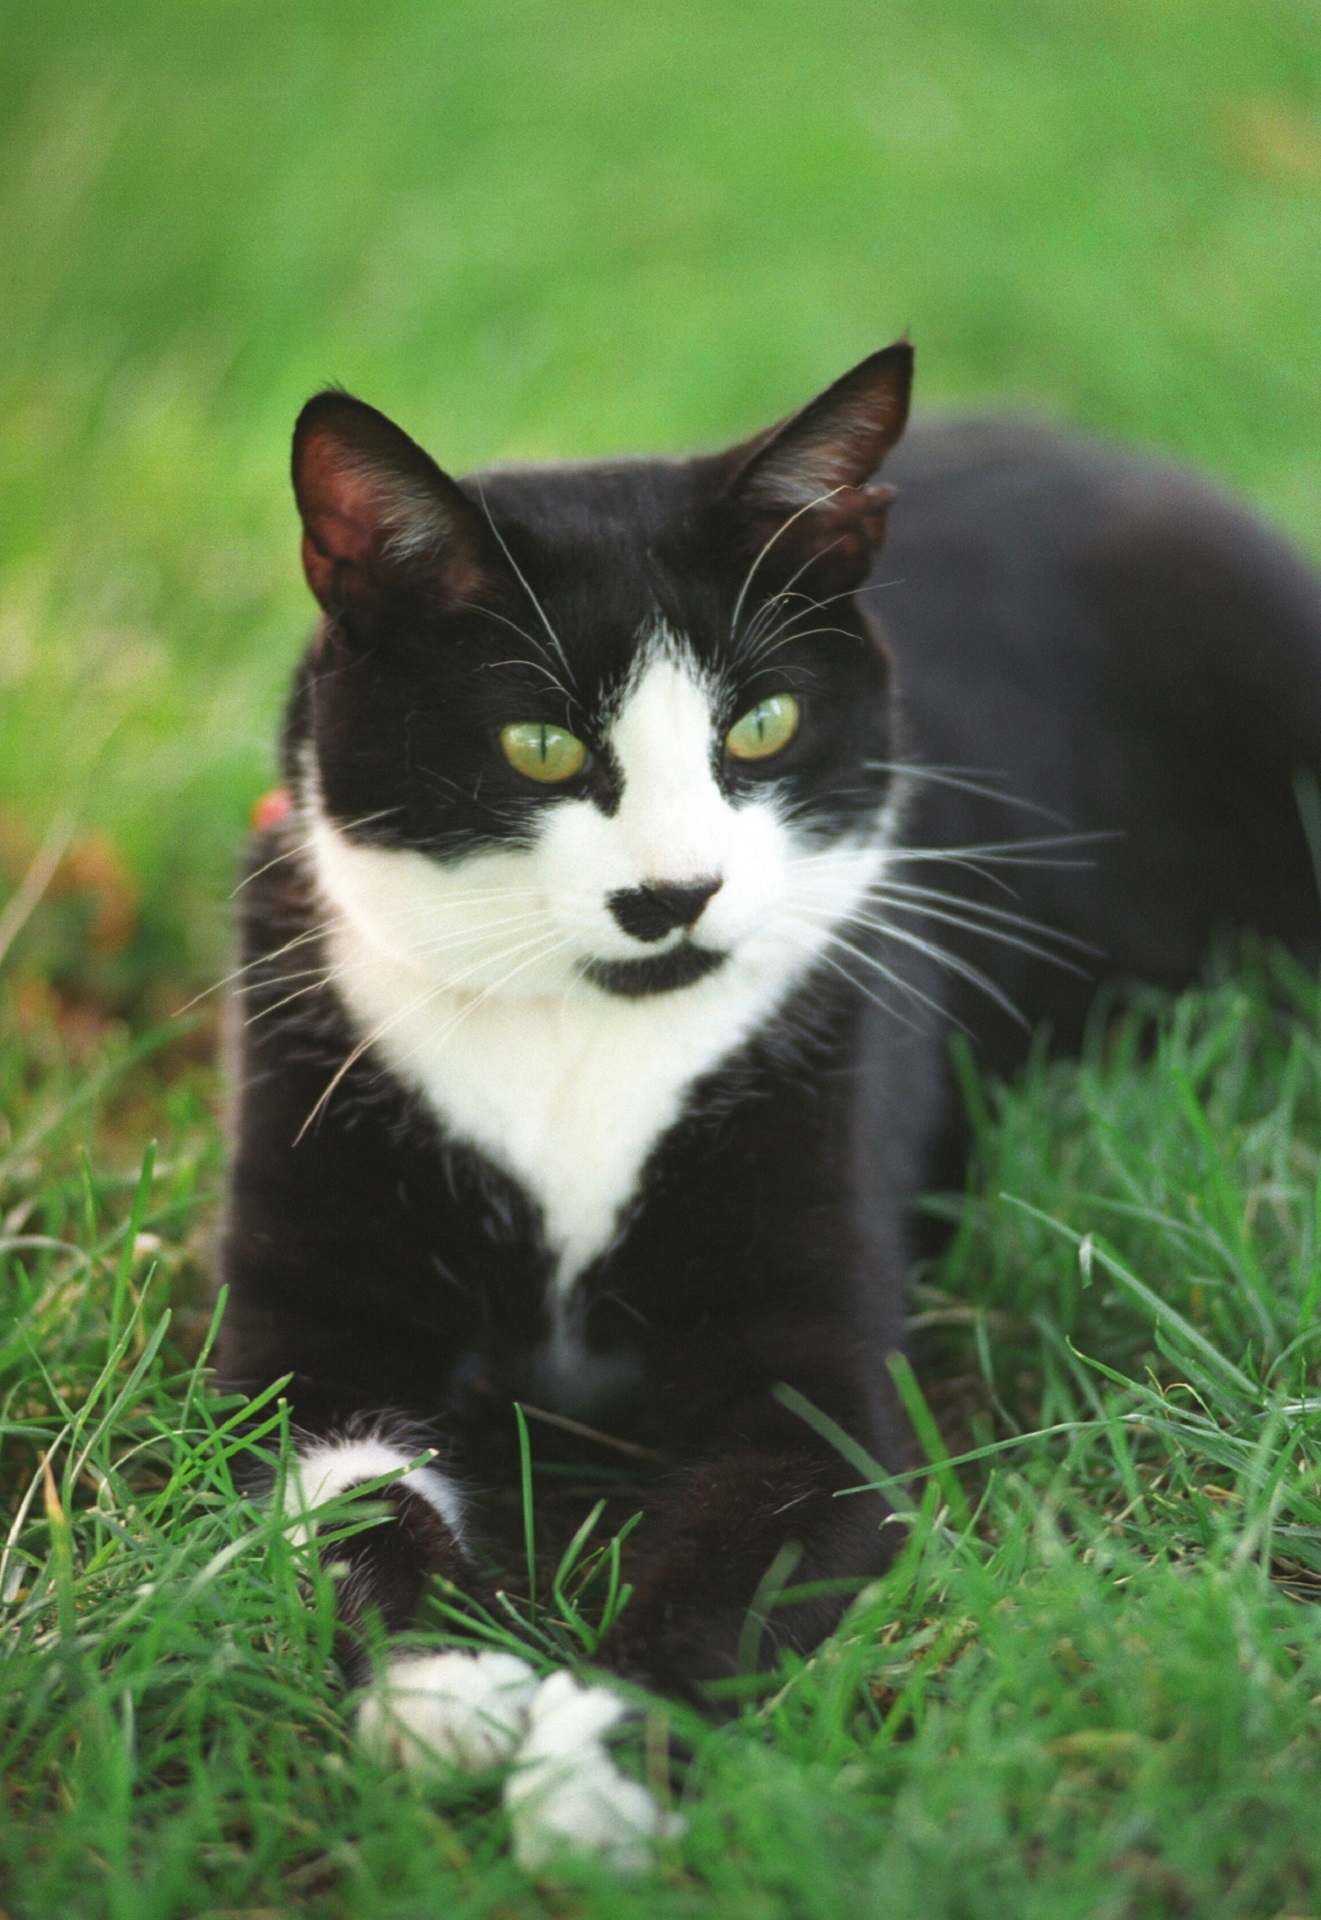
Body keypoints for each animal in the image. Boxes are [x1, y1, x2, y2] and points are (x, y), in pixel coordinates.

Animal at [214, 341, 1321, 1858]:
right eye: (540, 745)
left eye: (764, 722)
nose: (673, 893)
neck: (589, 1035)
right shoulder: (308, 1309)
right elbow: (337, 1489)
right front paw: (446, 1687)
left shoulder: (813, 1325)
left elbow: (739, 1551)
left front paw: (600, 1764)